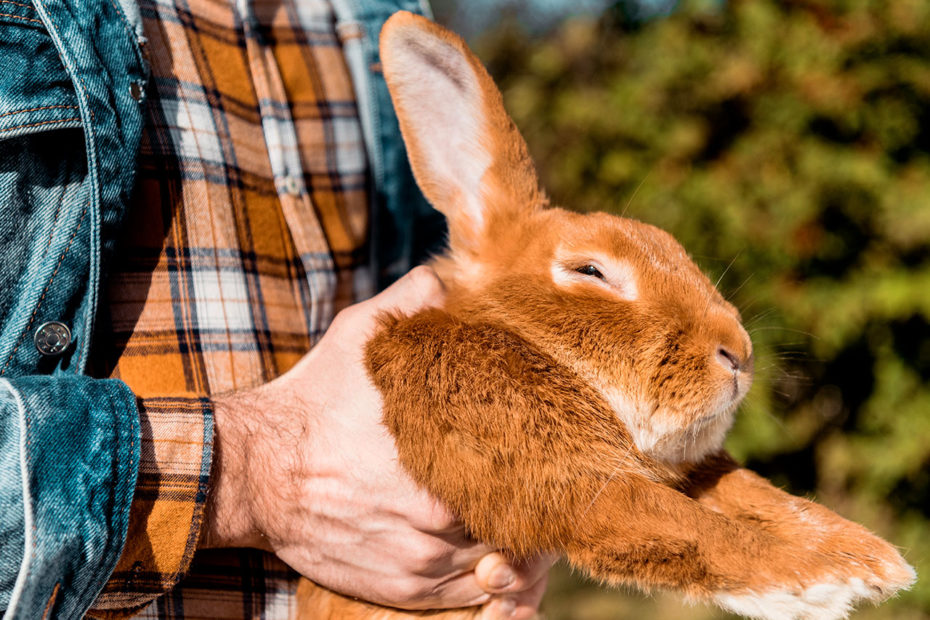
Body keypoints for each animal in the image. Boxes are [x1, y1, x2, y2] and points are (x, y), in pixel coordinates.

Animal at [298, 9, 912, 620]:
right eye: (590, 271)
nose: (738, 354)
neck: (534, 347)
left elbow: (753, 492)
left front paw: (869, 557)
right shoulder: (563, 476)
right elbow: (689, 526)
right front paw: (828, 580)